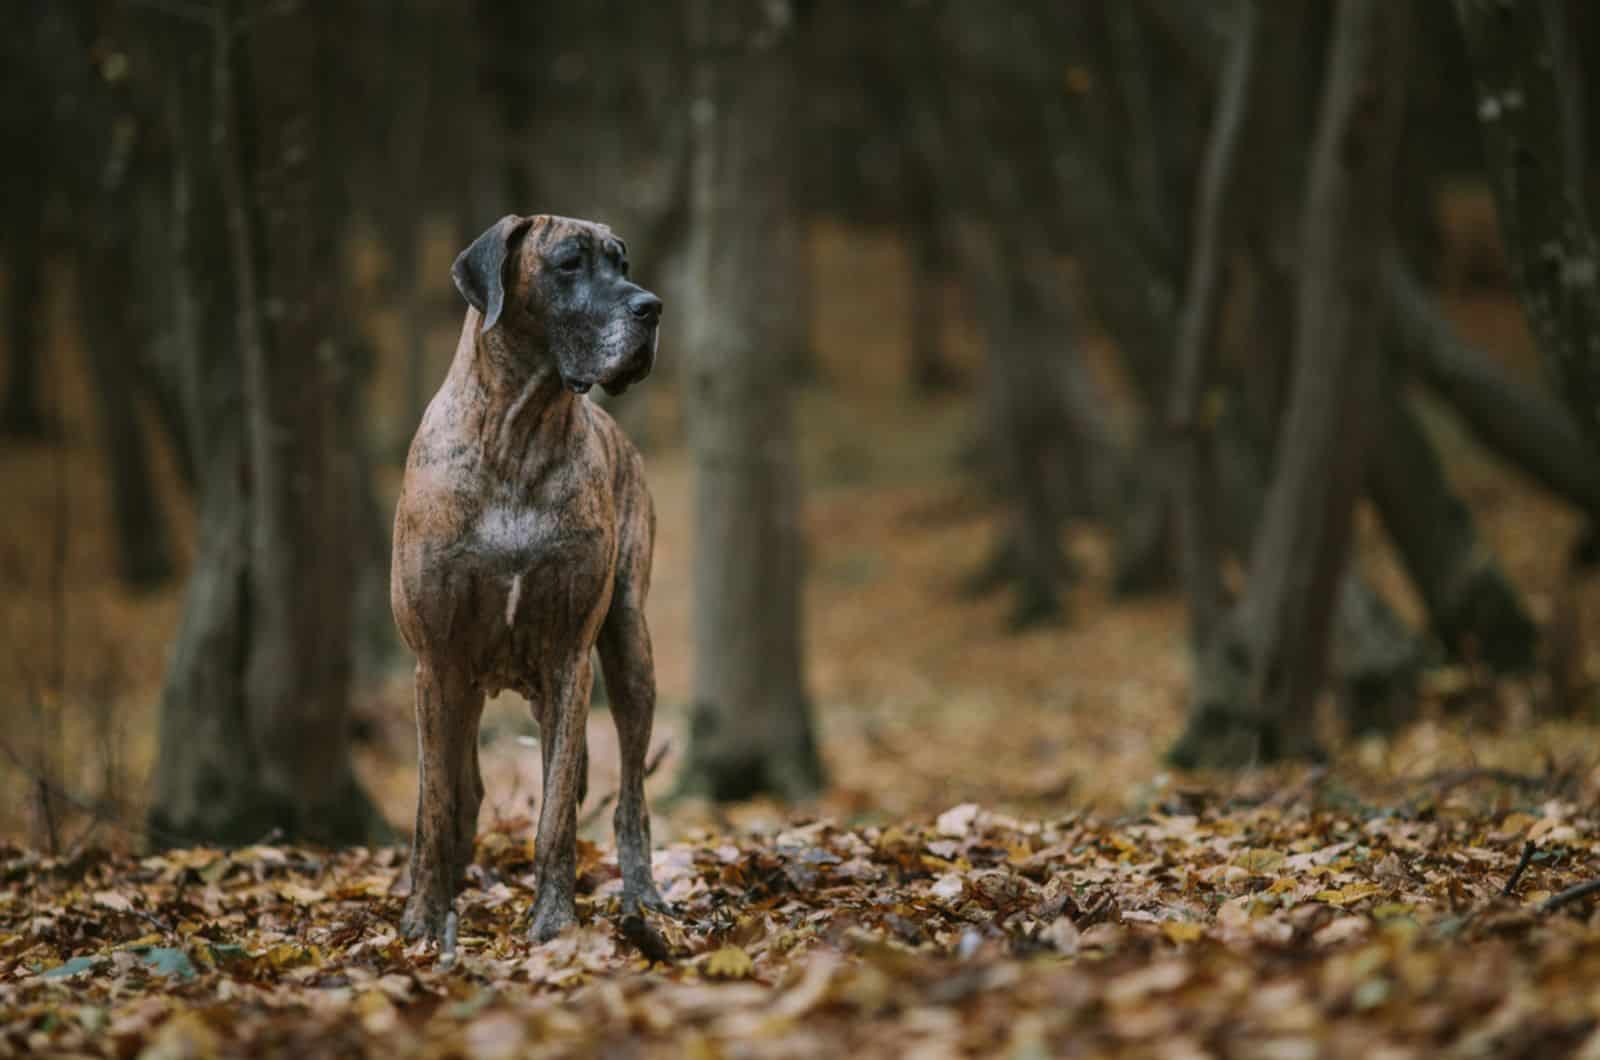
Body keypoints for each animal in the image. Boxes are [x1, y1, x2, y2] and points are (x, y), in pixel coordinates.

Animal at [393, 211, 668, 941]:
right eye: (569, 263)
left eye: (623, 262)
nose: (651, 307)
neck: (519, 431)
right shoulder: (436, 662)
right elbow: (436, 807)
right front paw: (424, 919)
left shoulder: (570, 656)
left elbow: (556, 816)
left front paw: (553, 921)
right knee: (459, 791)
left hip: (628, 649)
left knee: (629, 799)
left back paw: (643, 897)